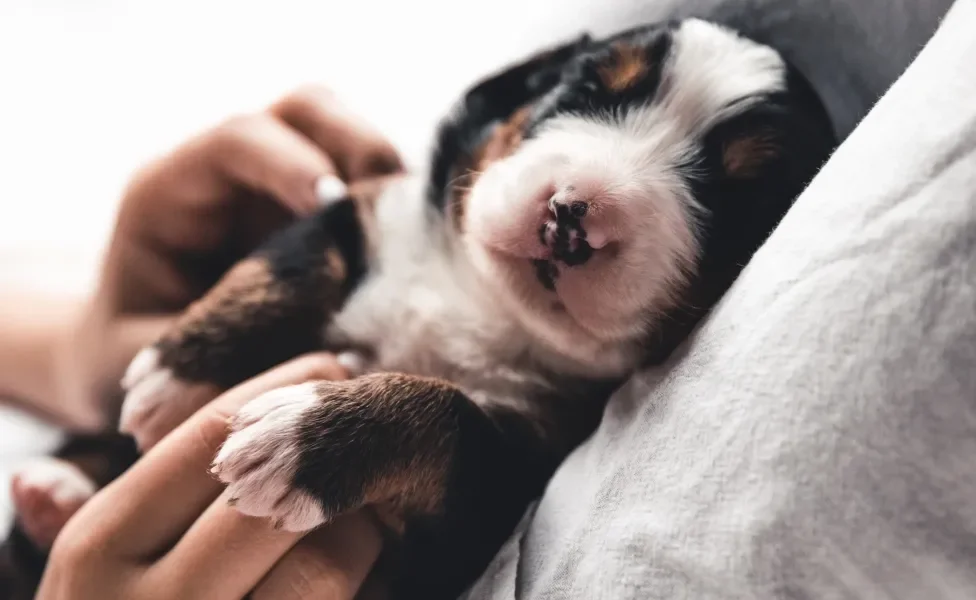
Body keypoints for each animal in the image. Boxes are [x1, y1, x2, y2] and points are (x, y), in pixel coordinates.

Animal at [3, 17, 836, 600]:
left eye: (739, 197)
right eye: (584, 93)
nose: (571, 216)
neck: (483, 305)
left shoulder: (490, 499)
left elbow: (448, 416)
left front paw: (307, 439)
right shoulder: (367, 207)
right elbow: (298, 259)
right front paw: (182, 373)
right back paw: (58, 485)